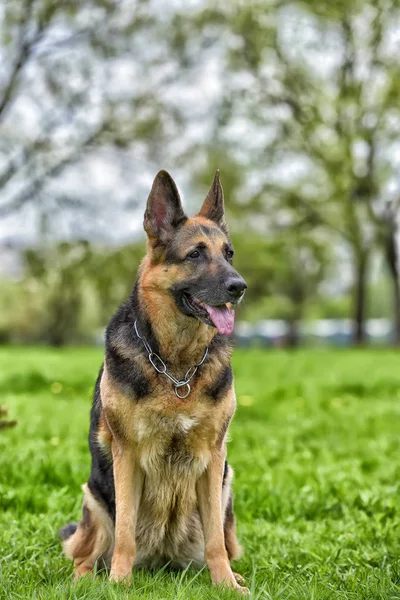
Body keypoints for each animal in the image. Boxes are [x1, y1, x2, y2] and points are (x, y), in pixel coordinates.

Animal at [60, 169, 247, 592]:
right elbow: (126, 532)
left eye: (228, 253)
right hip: (95, 498)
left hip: (226, 486)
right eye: (195, 254)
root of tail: (163, 559)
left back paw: (233, 572)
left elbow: (215, 540)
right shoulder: (127, 456)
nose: (239, 287)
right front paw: (119, 584)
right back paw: (86, 579)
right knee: (85, 554)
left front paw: (226, 585)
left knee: (224, 541)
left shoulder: (213, 458)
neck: (176, 368)